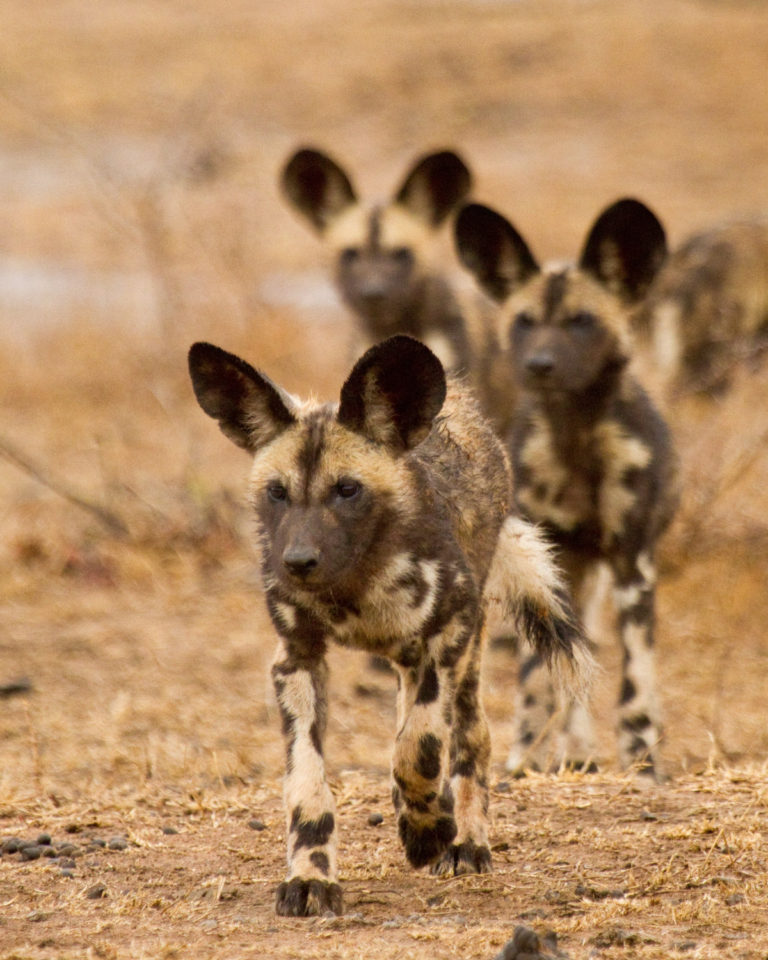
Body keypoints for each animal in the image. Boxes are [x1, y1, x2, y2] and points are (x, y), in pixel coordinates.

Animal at [188, 336, 588, 916]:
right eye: (277, 492)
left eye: (347, 490)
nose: (297, 562)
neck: (355, 586)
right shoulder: (297, 660)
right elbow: (307, 784)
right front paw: (311, 878)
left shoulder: (446, 638)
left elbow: (417, 748)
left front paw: (427, 831)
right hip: (406, 655)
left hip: (463, 658)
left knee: (467, 741)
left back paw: (464, 841)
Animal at [456, 199, 680, 776]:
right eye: (525, 322)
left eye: (582, 321)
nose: (539, 365)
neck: (575, 434)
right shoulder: (541, 554)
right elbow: (538, 675)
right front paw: (527, 758)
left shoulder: (633, 563)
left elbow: (636, 682)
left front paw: (643, 764)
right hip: (565, 569)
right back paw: (574, 752)